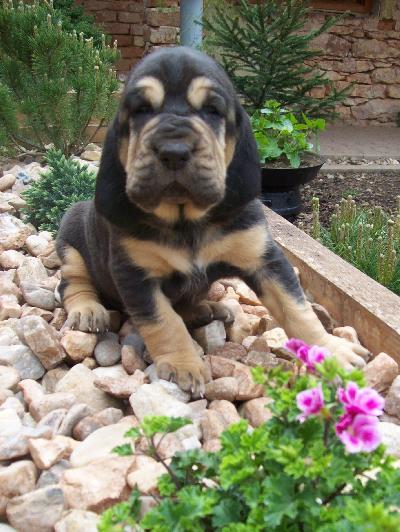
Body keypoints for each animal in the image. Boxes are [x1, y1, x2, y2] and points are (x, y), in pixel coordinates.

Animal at [56, 46, 369, 396]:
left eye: (212, 110)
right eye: (141, 110)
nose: (173, 150)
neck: (185, 219)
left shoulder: (266, 260)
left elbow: (297, 309)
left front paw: (330, 351)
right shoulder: (134, 275)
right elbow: (162, 321)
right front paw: (183, 364)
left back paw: (206, 309)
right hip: (72, 234)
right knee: (72, 281)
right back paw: (88, 309)